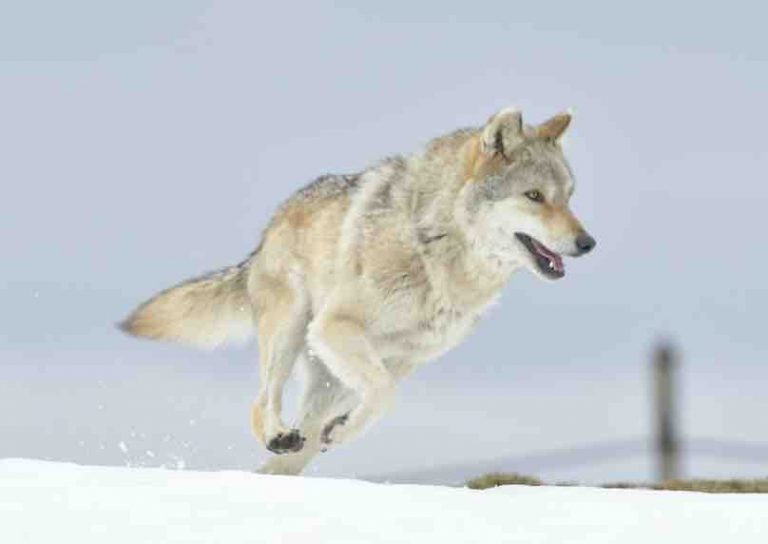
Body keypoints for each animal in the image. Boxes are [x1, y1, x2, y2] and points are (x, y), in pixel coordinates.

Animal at [121, 107, 595, 475]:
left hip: (327, 374)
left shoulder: (404, 359)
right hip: (295, 329)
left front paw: (343, 429)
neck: (435, 247)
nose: (588, 243)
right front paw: (344, 428)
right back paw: (277, 435)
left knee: (296, 448)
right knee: (263, 404)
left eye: (569, 197)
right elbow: (383, 395)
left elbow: (380, 399)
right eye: (534, 196)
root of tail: (267, 232)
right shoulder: (336, 326)